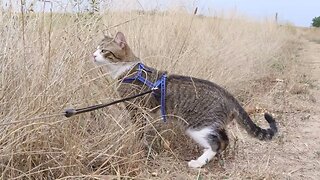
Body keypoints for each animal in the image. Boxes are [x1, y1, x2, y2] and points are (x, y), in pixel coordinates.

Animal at [92, 31, 278, 168]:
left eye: (104, 51)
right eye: (96, 48)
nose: (93, 55)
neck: (128, 70)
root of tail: (227, 94)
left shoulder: (137, 110)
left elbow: (139, 130)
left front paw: (139, 143)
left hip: (197, 126)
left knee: (216, 143)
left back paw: (198, 163)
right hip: (214, 124)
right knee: (225, 140)